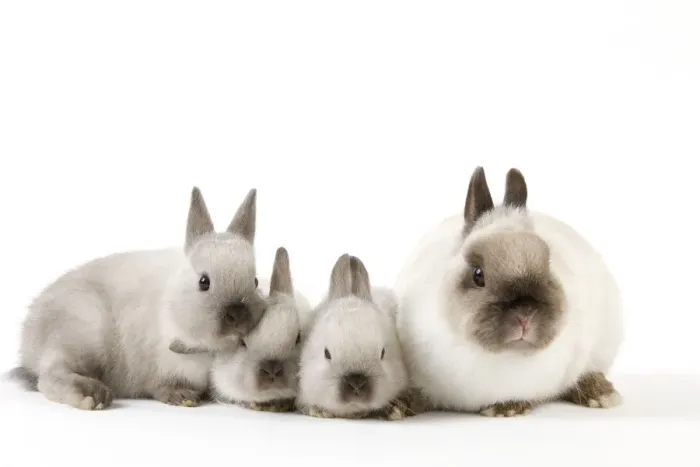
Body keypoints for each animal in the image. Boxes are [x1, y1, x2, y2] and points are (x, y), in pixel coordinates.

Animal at [8, 187, 266, 410]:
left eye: (255, 281)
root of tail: (28, 341)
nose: (238, 315)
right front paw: (182, 397)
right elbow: (160, 385)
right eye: (204, 281)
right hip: (84, 333)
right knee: (50, 375)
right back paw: (92, 396)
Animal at [390, 166, 624, 418]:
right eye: (478, 275)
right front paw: (395, 408)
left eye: (548, 267)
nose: (525, 315)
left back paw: (602, 395)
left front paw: (506, 408)